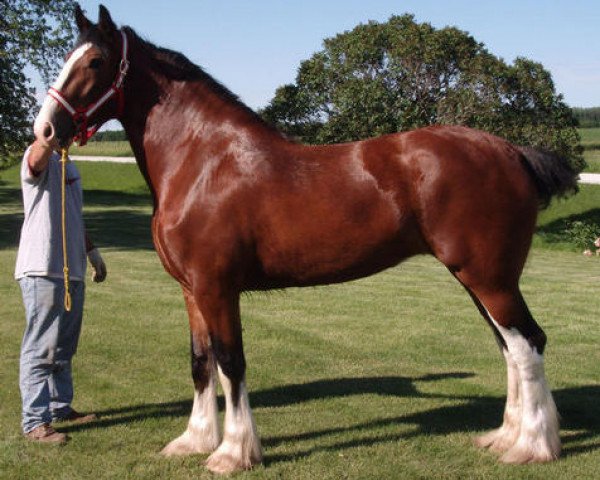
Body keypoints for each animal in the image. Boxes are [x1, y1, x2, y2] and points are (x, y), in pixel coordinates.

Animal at [32, 4, 576, 476]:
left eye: (96, 61)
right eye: (68, 57)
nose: (45, 131)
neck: (203, 161)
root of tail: (512, 152)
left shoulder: (216, 288)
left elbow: (231, 363)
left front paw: (233, 453)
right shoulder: (190, 291)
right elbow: (201, 362)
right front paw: (194, 440)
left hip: (489, 278)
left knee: (528, 344)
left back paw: (531, 446)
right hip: (478, 279)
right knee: (509, 346)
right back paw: (504, 437)